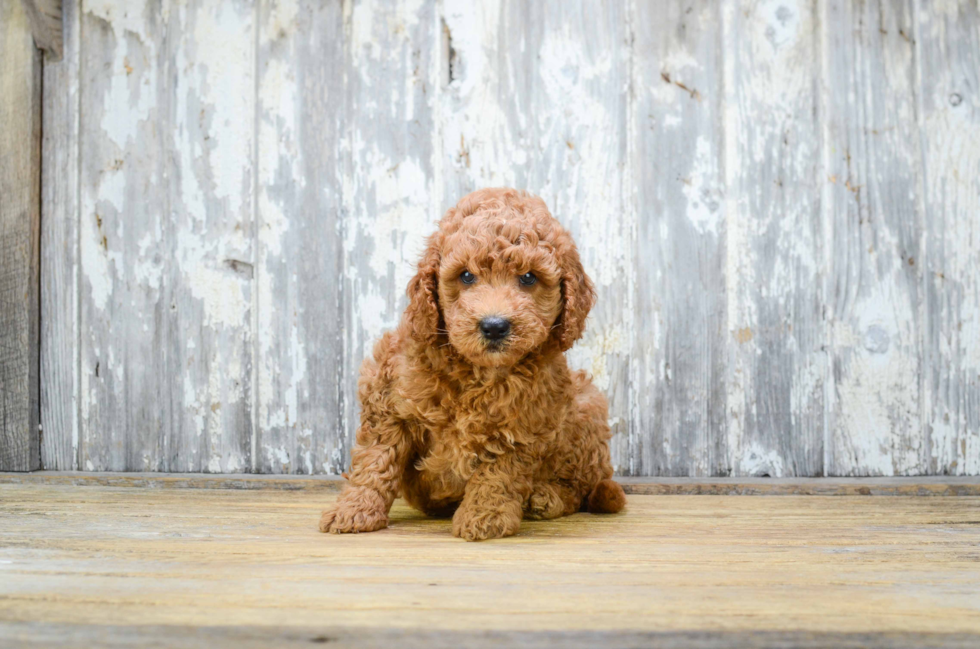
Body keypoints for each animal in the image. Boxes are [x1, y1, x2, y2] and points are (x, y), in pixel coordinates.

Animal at [322, 185, 628, 540]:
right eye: (466, 276)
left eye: (528, 278)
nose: (494, 326)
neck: (477, 371)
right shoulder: (387, 400)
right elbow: (375, 459)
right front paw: (353, 510)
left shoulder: (525, 424)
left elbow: (498, 473)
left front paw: (485, 516)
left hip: (585, 408)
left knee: (581, 488)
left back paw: (546, 497)